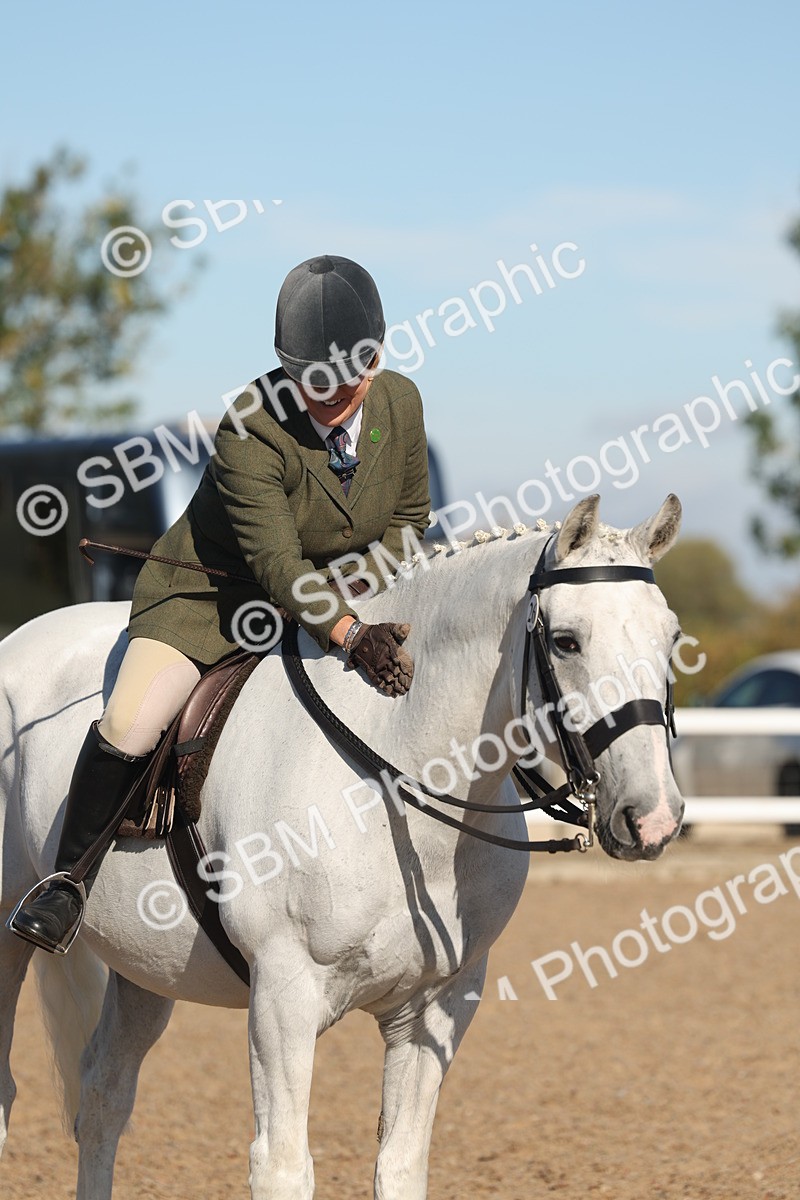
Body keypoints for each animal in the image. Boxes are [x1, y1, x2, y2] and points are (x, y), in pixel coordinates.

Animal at [0, 493, 685, 1200]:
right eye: (566, 641)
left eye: (671, 638)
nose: (653, 818)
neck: (397, 774)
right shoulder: (284, 994)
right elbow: (282, 1165)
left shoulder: (436, 1006)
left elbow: (401, 1163)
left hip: (145, 968)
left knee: (103, 1095)